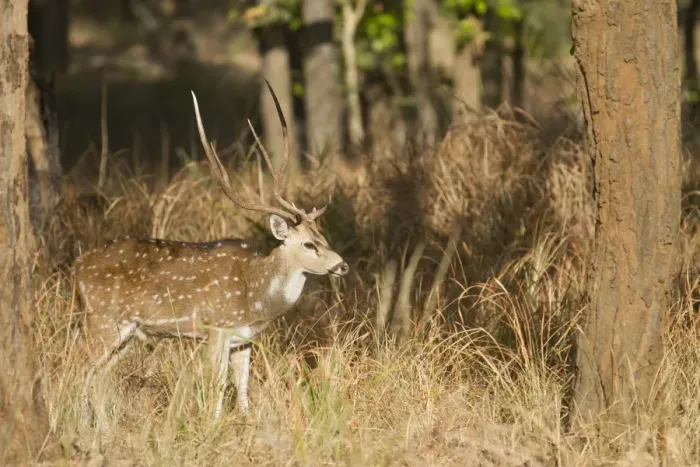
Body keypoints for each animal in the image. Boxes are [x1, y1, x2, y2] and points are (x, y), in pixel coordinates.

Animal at [76, 79, 349, 425]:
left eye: (322, 237)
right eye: (308, 244)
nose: (342, 265)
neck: (255, 293)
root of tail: (77, 267)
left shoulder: (242, 338)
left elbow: (242, 385)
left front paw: (244, 424)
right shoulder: (214, 328)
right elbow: (216, 384)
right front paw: (212, 426)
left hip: (126, 334)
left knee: (97, 378)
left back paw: (100, 429)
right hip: (101, 320)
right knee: (77, 371)